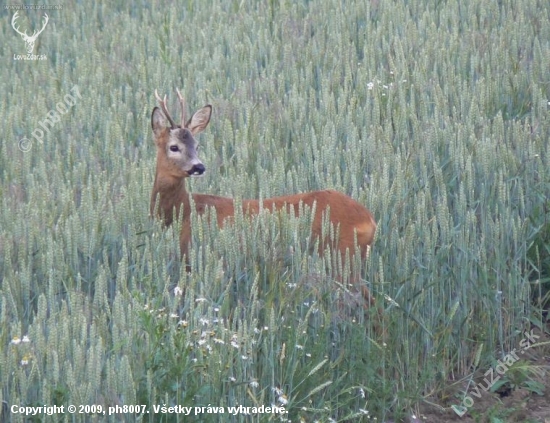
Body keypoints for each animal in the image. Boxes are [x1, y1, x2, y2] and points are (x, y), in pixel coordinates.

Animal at [149, 89, 378, 304]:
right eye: (174, 147)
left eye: (196, 146)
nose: (199, 167)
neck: (184, 209)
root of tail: (370, 220)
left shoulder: (192, 255)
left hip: (343, 257)